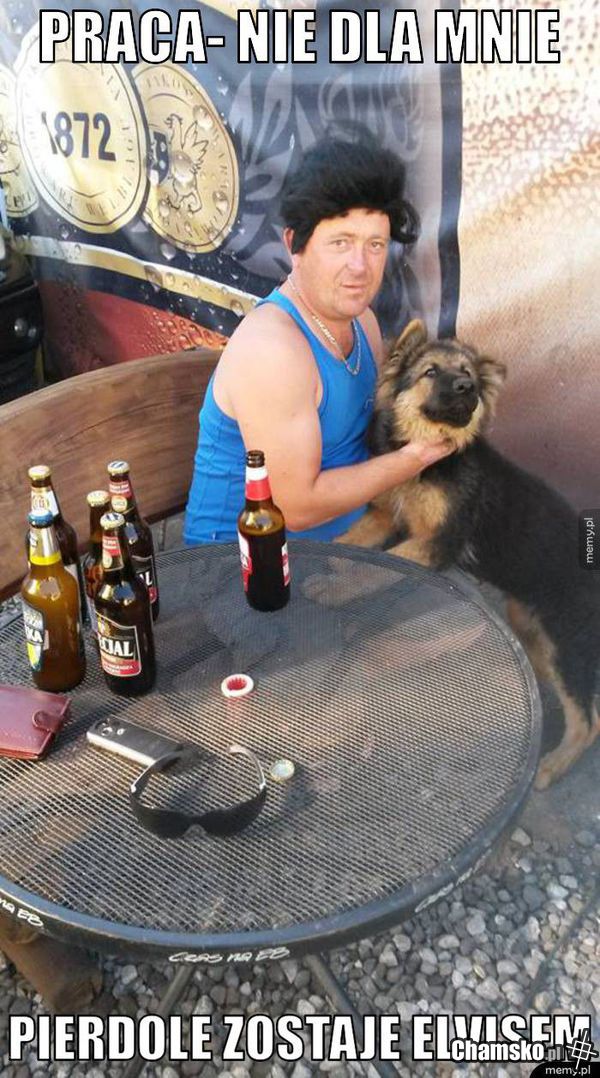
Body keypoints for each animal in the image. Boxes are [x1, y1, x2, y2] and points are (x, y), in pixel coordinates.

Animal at [341, 319, 600, 789]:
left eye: (468, 375)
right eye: (430, 372)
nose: (468, 389)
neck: (433, 457)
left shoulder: (439, 542)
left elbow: (379, 569)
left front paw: (327, 588)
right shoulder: (385, 518)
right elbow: (350, 548)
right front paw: (326, 569)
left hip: (567, 637)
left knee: (589, 721)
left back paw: (551, 766)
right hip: (529, 620)